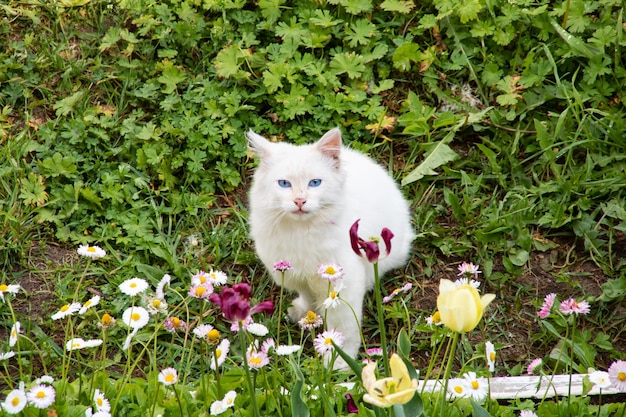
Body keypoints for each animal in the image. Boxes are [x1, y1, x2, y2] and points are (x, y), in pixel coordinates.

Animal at [245, 127, 414, 364]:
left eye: (315, 183)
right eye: (284, 184)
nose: (300, 201)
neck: (301, 233)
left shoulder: (342, 287)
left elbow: (344, 330)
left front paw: (340, 363)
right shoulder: (299, 276)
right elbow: (308, 299)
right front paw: (306, 314)